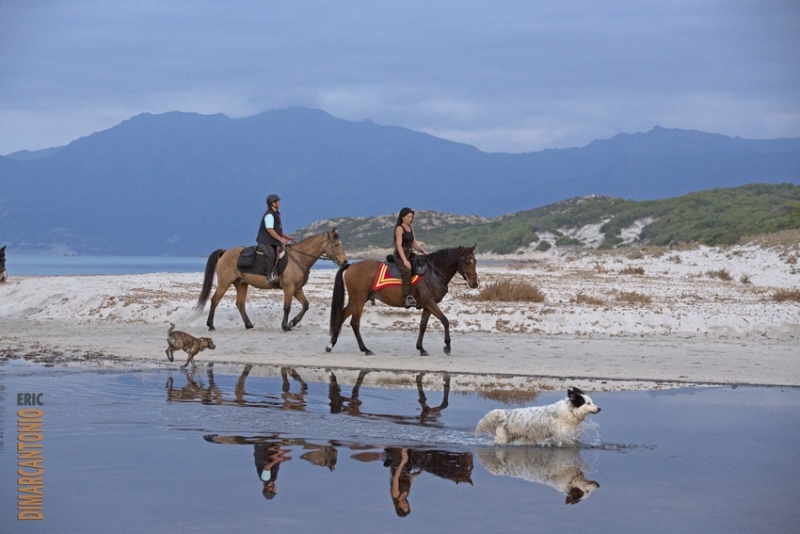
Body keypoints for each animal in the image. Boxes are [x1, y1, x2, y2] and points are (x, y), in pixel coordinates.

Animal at [195, 229, 346, 332]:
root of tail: (225, 252)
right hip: (224, 283)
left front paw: (293, 322)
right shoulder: (289, 288)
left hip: (241, 284)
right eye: (335, 244)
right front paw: (285, 326)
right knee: (215, 300)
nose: (344, 261)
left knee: (240, 304)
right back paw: (211, 325)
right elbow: (287, 307)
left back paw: (249, 325)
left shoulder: (297, 289)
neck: (300, 257)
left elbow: (306, 305)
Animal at [324, 246, 476, 356]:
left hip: (356, 300)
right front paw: (447, 346)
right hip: (359, 300)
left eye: (475, 261)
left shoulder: (427, 306)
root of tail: (352, 265)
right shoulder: (430, 303)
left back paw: (331, 344)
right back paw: (365, 349)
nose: (475, 283)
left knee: (341, 317)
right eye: (467, 261)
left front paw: (421, 348)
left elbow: (423, 326)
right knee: (354, 323)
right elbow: (445, 321)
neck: (433, 272)